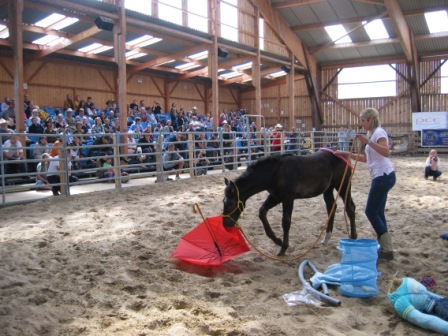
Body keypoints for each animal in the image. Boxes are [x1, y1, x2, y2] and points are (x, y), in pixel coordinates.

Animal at [221, 150, 356, 258]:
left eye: (231, 203)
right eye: (223, 201)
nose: (226, 224)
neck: (274, 172)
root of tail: (343, 156)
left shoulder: (288, 199)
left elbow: (285, 222)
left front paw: (283, 248)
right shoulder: (276, 197)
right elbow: (262, 212)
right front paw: (277, 240)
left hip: (344, 186)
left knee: (350, 208)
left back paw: (353, 237)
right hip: (328, 189)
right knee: (331, 207)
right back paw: (326, 238)